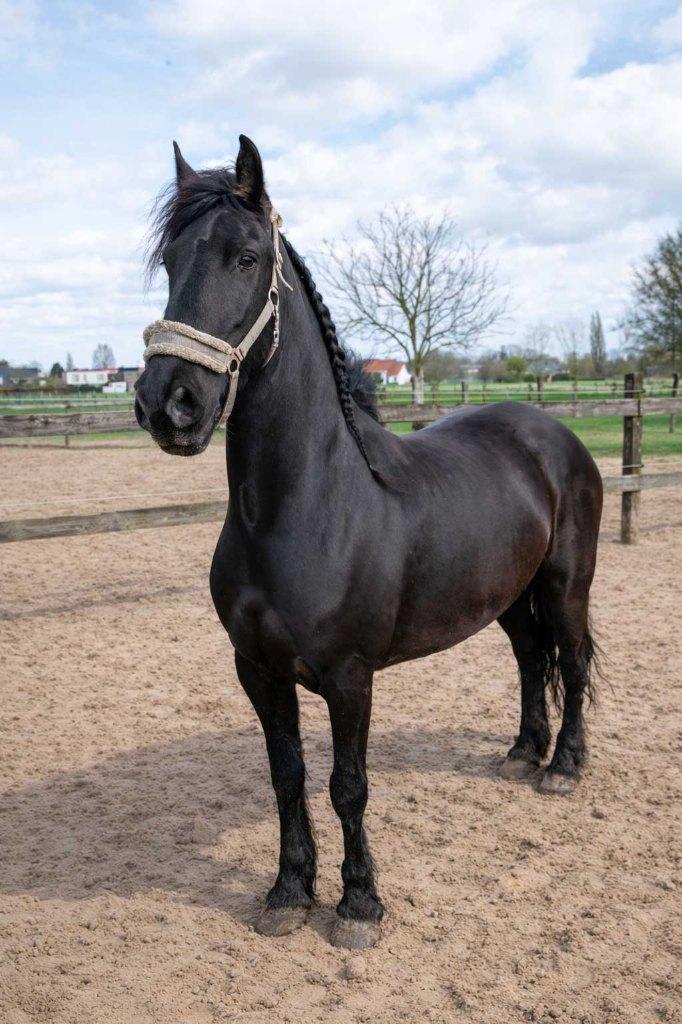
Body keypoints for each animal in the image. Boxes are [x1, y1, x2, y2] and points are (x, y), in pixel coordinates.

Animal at [135, 135, 603, 950]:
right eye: (169, 261)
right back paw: (522, 754)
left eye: (246, 257)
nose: (169, 403)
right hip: (509, 599)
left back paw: (563, 767)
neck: (299, 508)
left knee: (570, 664)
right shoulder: (258, 670)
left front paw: (358, 905)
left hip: (565, 587)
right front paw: (289, 892)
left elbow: (346, 785)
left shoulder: (350, 676)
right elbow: (287, 776)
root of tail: (556, 435)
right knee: (528, 659)